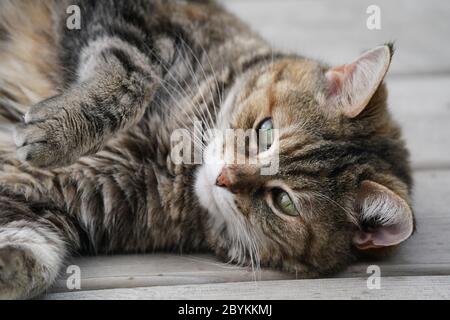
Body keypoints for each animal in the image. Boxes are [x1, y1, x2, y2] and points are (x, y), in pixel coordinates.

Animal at [0, 0, 414, 300]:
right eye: (266, 131)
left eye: (284, 202)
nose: (224, 178)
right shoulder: (131, 20)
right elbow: (133, 78)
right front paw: (55, 132)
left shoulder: (69, 197)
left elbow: (31, 243)